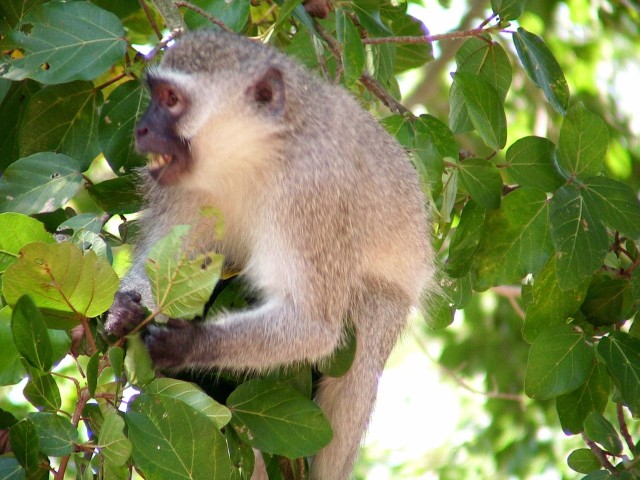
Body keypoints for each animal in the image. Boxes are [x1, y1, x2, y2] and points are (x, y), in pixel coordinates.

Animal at [106, 30, 436, 480]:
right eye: (154, 96)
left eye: (171, 100)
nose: (141, 128)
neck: (253, 157)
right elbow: (164, 263)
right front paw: (124, 311)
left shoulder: (311, 193)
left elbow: (314, 327)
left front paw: (187, 343)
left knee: (364, 334)